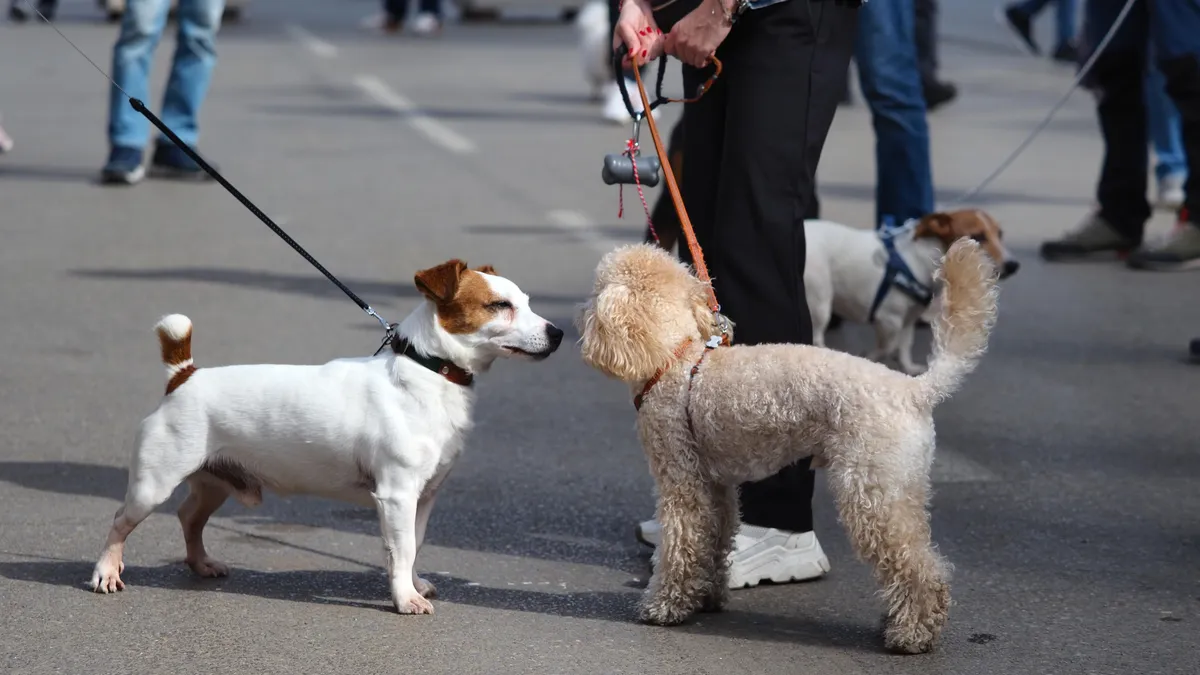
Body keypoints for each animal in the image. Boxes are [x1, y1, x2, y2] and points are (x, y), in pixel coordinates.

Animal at [87, 258, 564, 614]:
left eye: (526, 302)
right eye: (499, 305)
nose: (558, 333)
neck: (429, 369)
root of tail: (183, 376)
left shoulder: (423, 497)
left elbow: (413, 545)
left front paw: (411, 585)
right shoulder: (397, 495)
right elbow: (402, 548)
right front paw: (404, 599)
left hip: (215, 482)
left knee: (190, 517)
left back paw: (201, 565)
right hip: (153, 485)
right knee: (120, 522)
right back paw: (107, 572)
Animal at [801, 208, 1017, 372]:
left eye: (1000, 234)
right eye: (977, 236)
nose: (1014, 265)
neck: (919, 259)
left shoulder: (908, 319)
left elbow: (905, 346)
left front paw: (907, 367)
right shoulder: (888, 320)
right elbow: (887, 347)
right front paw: (870, 357)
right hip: (820, 303)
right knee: (816, 336)